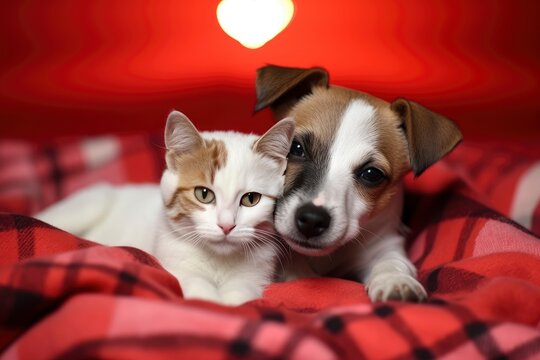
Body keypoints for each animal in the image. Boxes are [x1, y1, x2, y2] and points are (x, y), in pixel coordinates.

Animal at [37, 111, 296, 306]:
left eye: (251, 199)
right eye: (204, 194)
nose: (226, 225)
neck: (218, 260)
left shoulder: (258, 270)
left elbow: (242, 292)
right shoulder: (173, 261)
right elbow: (195, 284)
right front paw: (209, 301)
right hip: (94, 201)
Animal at [255, 64, 462, 300]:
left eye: (371, 174)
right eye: (296, 148)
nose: (312, 220)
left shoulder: (386, 244)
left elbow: (391, 261)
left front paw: (395, 280)